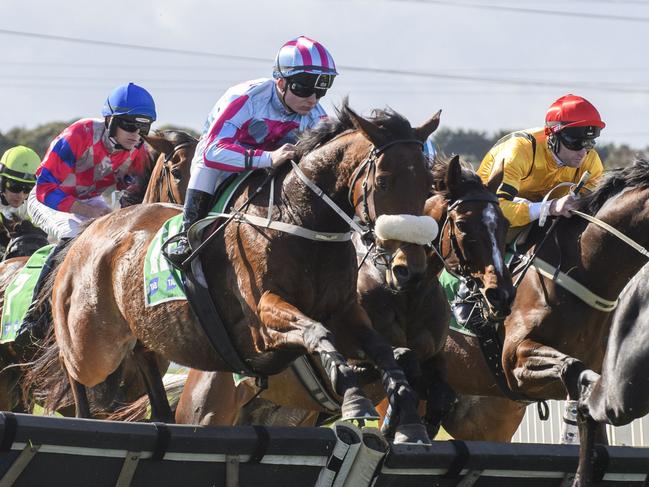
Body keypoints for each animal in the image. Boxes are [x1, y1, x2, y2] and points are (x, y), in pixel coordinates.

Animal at [25, 104, 440, 446]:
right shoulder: (262, 319)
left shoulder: (345, 313)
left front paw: (406, 416)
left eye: (428, 184)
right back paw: (81, 418)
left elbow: (390, 352)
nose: (409, 267)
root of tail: (87, 234)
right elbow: (318, 334)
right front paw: (356, 400)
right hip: (94, 345)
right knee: (74, 371)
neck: (300, 221)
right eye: (383, 181)